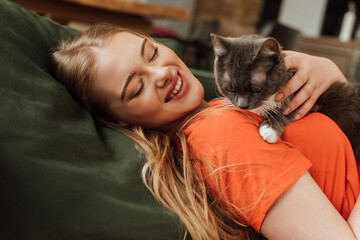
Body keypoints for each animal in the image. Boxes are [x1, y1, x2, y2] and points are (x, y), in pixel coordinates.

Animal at [211, 33, 360, 161]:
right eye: (229, 88)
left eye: (257, 89)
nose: (243, 105)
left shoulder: (308, 98)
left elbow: (286, 111)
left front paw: (270, 130)